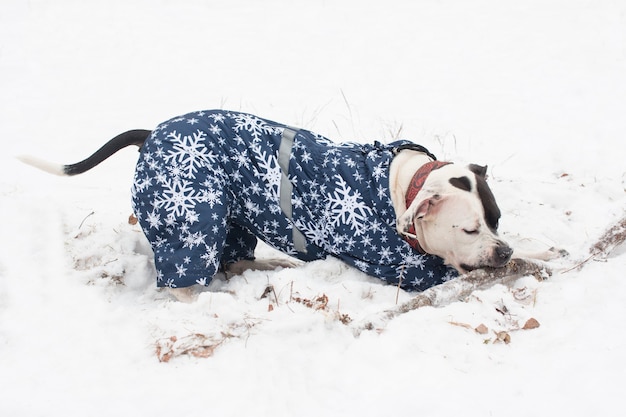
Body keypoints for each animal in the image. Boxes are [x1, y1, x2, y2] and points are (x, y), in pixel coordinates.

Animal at [19, 109, 560, 300]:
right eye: (468, 230)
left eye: (496, 221)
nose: (501, 251)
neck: (400, 189)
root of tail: (153, 132)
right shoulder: (409, 270)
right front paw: (536, 262)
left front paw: (542, 249)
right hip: (193, 214)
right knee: (184, 275)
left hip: (230, 218)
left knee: (232, 258)